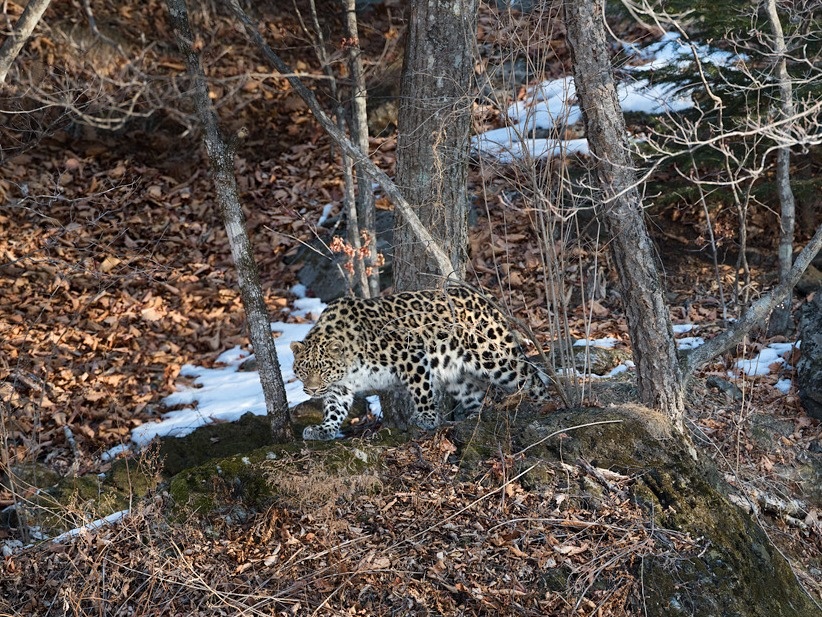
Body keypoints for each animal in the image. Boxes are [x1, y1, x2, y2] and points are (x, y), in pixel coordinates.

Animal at [292, 286, 552, 440]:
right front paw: (324, 429)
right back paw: (471, 419)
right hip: (458, 377)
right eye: (304, 370)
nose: (311, 390)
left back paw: (547, 405)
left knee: (530, 376)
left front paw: (426, 418)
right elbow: (334, 409)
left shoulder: (410, 353)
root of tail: (482, 298)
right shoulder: (339, 387)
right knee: (475, 395)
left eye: (323, 370)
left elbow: (421, 389)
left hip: (495, 358)